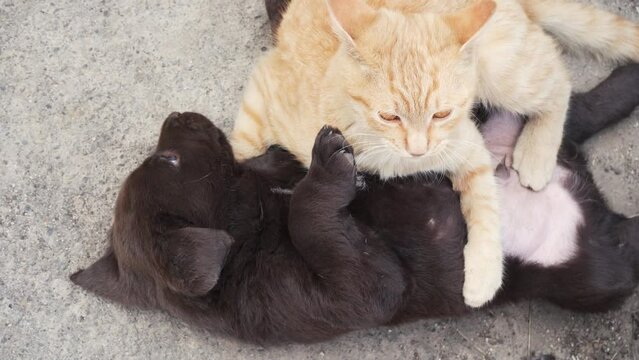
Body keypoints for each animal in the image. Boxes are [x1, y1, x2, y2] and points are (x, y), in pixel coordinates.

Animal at [72, 64, 639, 344]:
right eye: (167, 158)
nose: (175, 113)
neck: (256, 224)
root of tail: (570, 174)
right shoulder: (364, 289)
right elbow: (310, 214)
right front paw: (328, 168)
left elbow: (284, 171)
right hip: (595, 277)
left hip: (493, 115)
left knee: (573, 106)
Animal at [232, 0, 639, 308]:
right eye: (389, 115)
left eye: (441, 113)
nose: (418, 149)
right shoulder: (265, 87)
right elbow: (243, 148)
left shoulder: (466, 143)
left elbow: (486, 204)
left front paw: (484, 274)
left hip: (503, 71)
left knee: (557, 77)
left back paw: (537, 152)